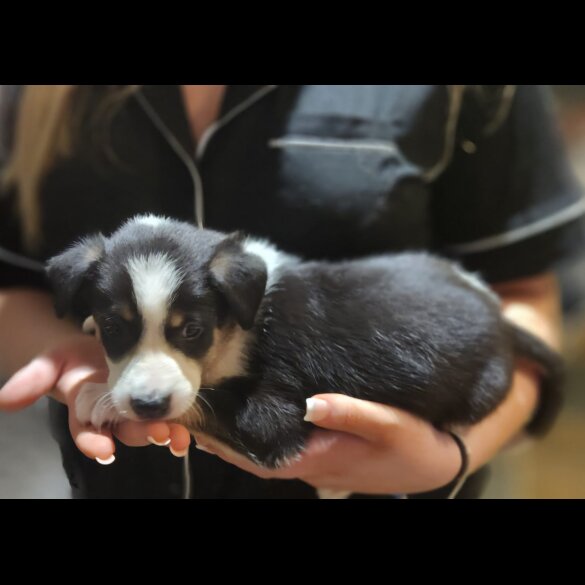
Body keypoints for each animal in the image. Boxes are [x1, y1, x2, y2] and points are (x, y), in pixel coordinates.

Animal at [44, 217, 560, 472]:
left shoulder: (274, 417)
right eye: (114, 326)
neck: (238, 322)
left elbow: (210, 404)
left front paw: (97, 395)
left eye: (192, 330)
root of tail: (500, 320)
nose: (148, 404)